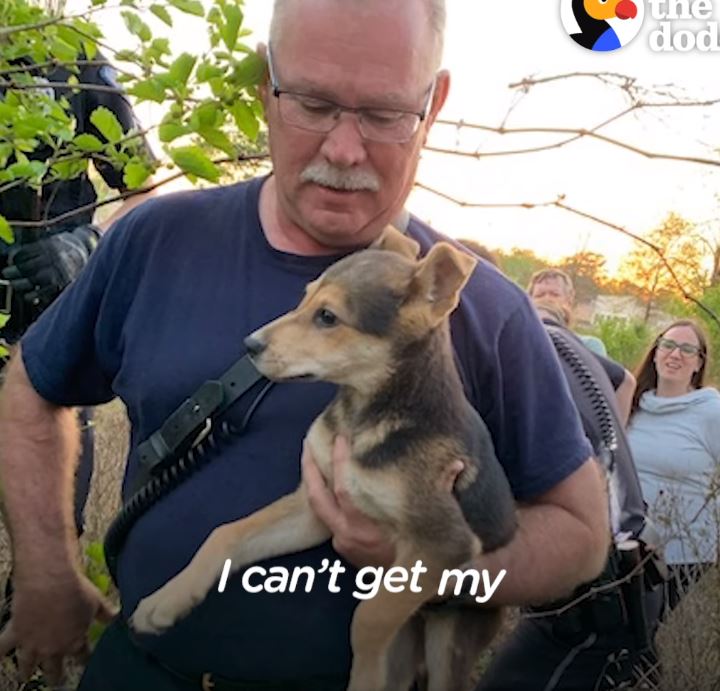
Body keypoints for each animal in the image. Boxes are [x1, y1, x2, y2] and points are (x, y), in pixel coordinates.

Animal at [132, 228, 516, 691]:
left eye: (328, 317)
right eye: (305, 297)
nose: (249, 345)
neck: (365, 416)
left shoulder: (443, 541)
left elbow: (368, 616)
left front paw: (364, 676)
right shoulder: (315, 510)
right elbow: (226, 533)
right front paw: (167, 600)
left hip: (450, 639)